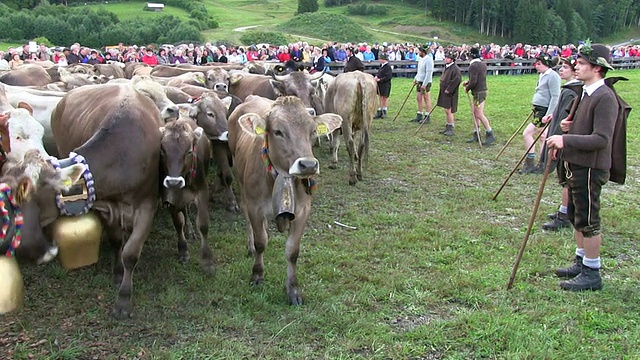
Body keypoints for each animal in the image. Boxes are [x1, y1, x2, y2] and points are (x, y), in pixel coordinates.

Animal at [159, 119, 214, 272]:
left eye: (189, 151)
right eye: (163, 150)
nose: (174, 181)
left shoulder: (203, 192)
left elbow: (203, 224)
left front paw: (207, 260)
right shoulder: (169, 198)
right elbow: (178, 223)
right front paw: (183, 251)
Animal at [228, 95, 342, 304]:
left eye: (313, 131)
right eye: (278, 131)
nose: (308, 165)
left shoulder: (303, 211)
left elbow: (292, 251)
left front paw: (293, 289)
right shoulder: (255, 206)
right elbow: (261, 243)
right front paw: (257, 274)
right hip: (239, 181)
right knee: (246, 216)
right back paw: (250, 245)